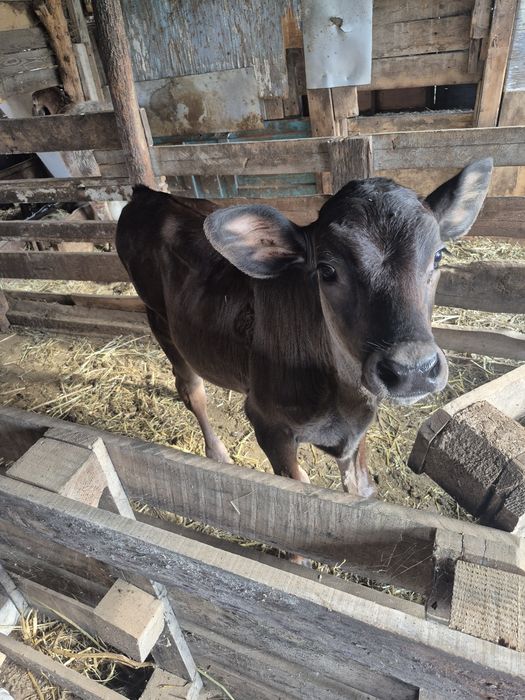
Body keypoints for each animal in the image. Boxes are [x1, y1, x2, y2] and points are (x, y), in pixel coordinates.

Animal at [116, 158, 492, 498]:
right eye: (326, 270)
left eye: (439, 256)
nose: (413, 370)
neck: (342, 397)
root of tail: (148, 195)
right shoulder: (268, 425)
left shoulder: (356, 435)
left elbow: (361, 492)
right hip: (158, 318)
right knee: (191, 389)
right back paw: (218, 453)